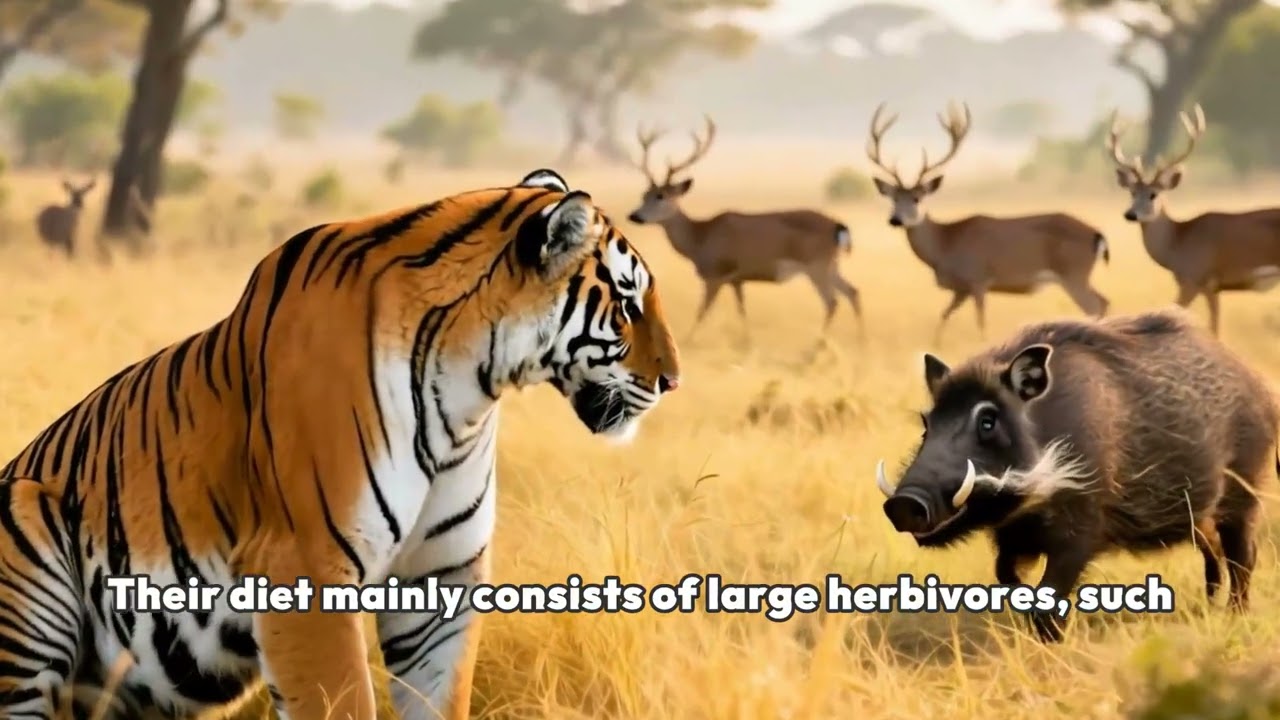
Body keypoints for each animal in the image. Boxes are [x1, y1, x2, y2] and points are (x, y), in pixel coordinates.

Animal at [0, 168, 681, 720]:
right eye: (627, 302)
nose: (673, 381)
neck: (466, 394)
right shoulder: (303, 567)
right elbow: (343, 700)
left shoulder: (440, 578)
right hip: (26, 535)